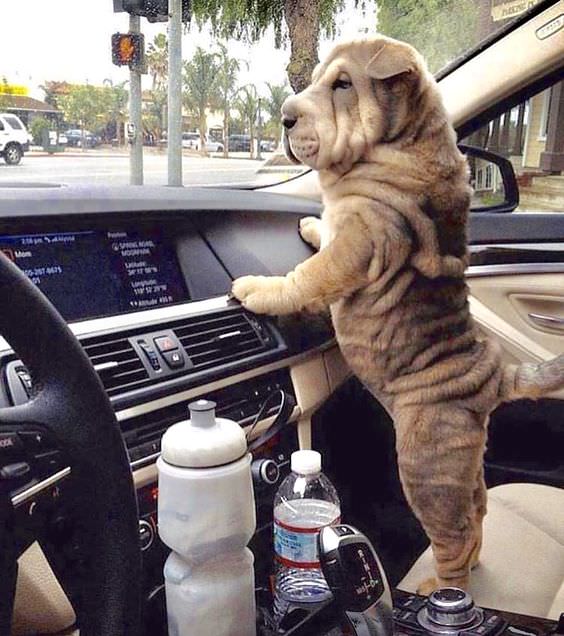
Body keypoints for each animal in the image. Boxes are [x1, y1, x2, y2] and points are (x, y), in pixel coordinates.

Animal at [230, 34, 564, 592]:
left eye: (342, 85)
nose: (284, 117)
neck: (400, 142)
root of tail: (491, 376)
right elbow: (322, 235)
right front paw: (308, 224)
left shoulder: (358, 241)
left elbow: (305, 277)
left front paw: (256, 286)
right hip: (465, 469)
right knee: (476, 513)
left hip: (425, 467)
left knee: (452, 534)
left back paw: (442, 589)